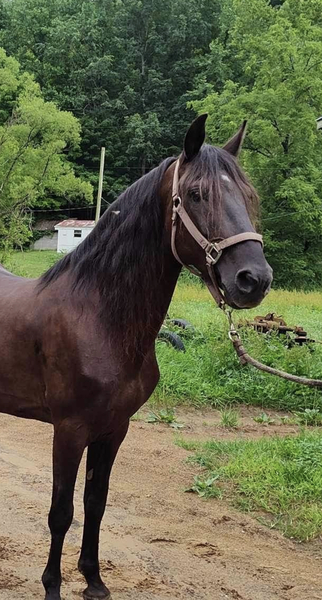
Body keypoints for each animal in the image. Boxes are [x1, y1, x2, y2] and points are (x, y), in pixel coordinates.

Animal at [0, 113, 272, 600]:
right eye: (197, 193)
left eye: (248, 195)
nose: (253, 279)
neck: (99, 318)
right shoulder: (69, 430)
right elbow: (61, 512)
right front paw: (52, 586)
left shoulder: (115, 429)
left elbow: (96, 503)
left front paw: (93, 580)